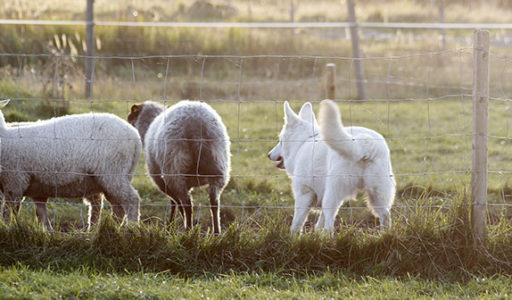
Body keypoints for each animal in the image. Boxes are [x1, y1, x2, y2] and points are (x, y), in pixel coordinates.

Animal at [0, 101, 142, 230]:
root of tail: (135, 136)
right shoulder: (36, 190)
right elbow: (41, 215)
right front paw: (48, 233)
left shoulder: (14, 182)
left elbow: (8, 212)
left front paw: (8, 229)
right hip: (112, 178)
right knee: (116, 207)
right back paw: (108, 229)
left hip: (113, 172)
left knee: (131, 200)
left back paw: (131, 227)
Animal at [127, 99, 231, 233]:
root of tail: (195, 123)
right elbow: (175, 202)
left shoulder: (159, 179)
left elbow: (174, 201)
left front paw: (170, 225)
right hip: (218, 168)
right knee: (214, 202)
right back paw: (216, 231)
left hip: (174, 170)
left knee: (187, 204)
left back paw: (188, 229)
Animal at [268, 99, 396, 233]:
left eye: (280, 141)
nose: (268, 155)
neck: (303, 143)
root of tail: (364, 144)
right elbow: (320, 222)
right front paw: (316, 234)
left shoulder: (304, 194)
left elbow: (297, 224)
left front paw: (293, 237)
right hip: (377, 195)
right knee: (386, 215)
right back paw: (384, 235)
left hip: (332, 196)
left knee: (330, 224)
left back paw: (327, 237)